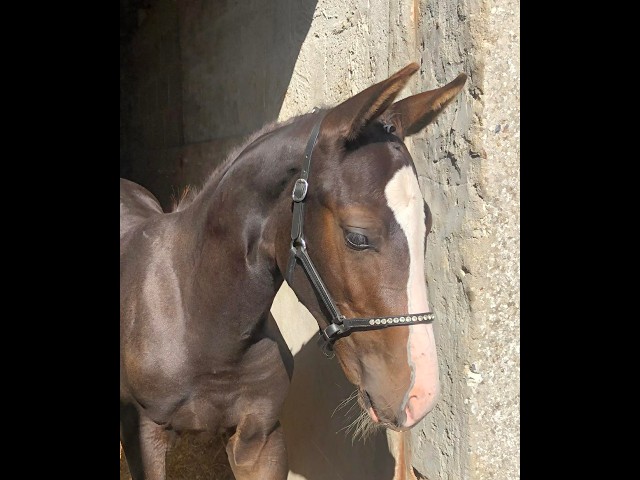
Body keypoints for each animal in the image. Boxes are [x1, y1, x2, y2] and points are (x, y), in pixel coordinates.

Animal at [120, 62, 466, 479]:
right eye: (357, 236)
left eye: (426, 226)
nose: (419, 394)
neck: (198, 324)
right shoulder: (144, 438)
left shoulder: (261, 439)